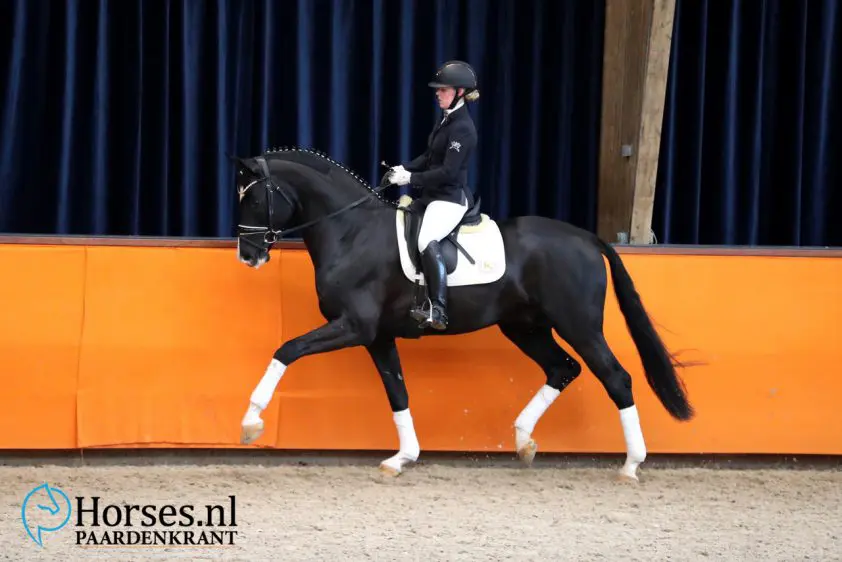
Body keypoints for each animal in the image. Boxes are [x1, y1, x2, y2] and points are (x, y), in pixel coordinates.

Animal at [229, 146, 694, 482]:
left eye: (251, 198)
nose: (248, 255)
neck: (352, 231)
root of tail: (586, 237)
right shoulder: (377, 336)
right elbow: (397, 392)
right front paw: (402, 458)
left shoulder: (353, 326)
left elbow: (287, 350)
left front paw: (251, 422)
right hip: (525, 327)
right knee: (563, 368)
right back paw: (524, 441)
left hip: (579, 325)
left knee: (616, 377)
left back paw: (631, 464)